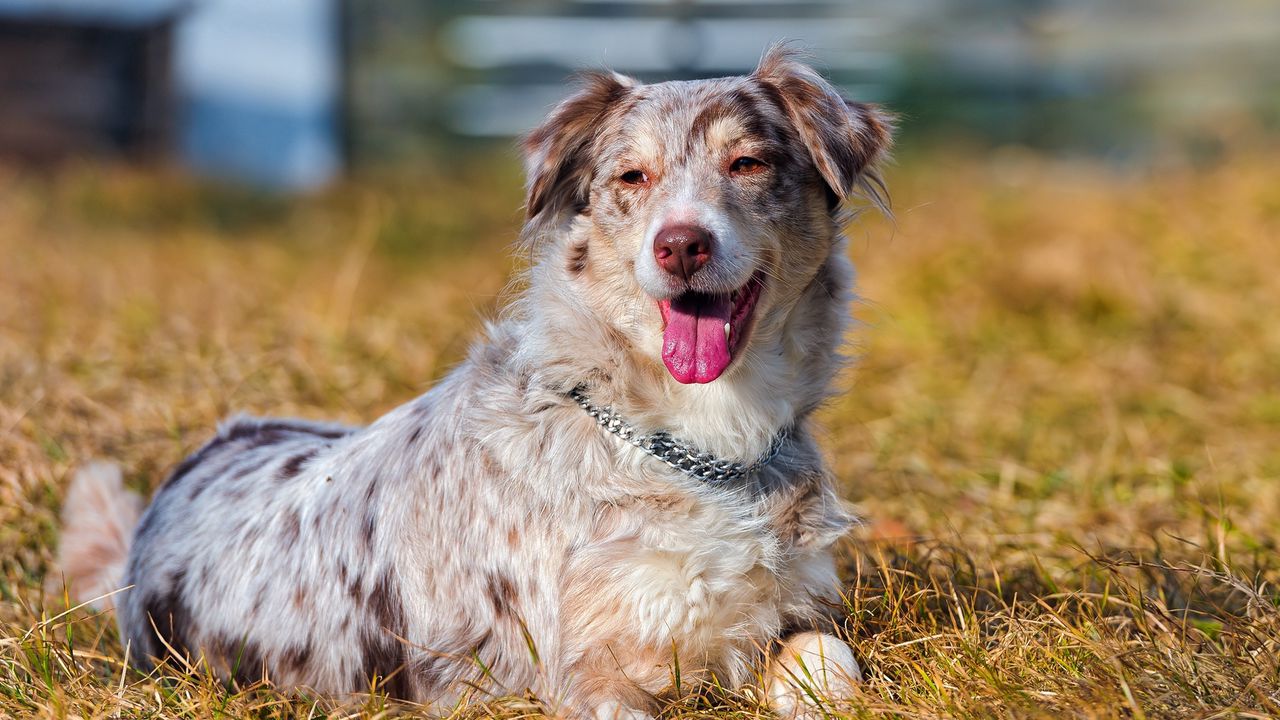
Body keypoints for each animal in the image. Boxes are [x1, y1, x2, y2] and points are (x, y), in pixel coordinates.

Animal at [57, 46, 890, 717]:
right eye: (632, 176)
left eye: (747, 164)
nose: (681, 244)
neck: (699, 441)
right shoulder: (579, 673)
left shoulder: (795, 608)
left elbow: (832, 664)